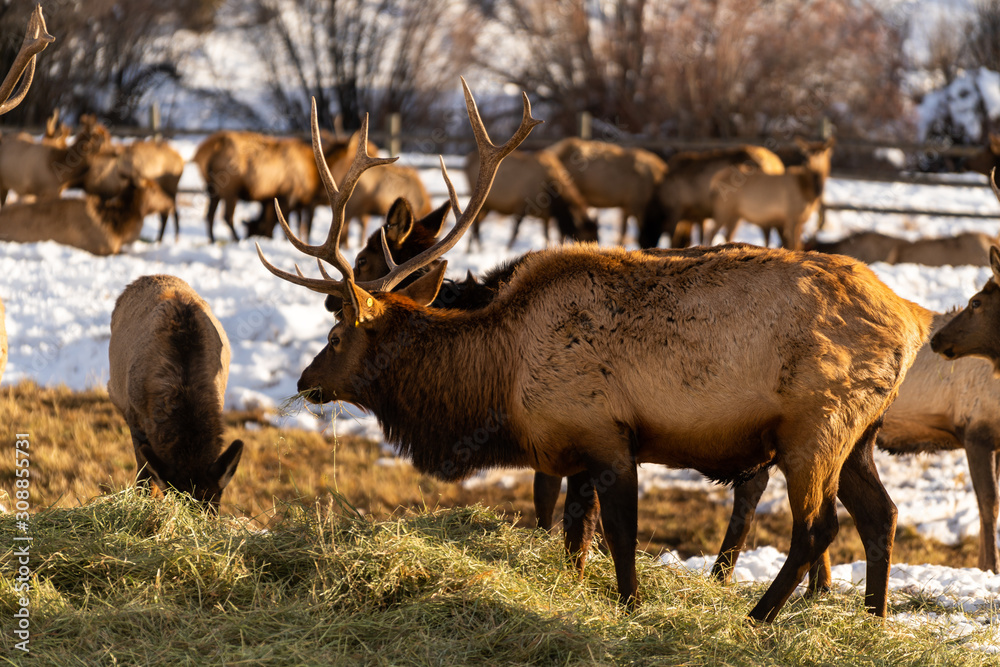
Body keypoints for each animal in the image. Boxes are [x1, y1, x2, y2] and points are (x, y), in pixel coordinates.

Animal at [463, 149, 598, 249]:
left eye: (597, 236)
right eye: (584, 237)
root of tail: (467, 161)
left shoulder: (546, 215)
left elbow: (546, 235)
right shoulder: (521, 205)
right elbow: (515, 231)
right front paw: (508, 249)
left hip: (488, 205)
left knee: (475, 224)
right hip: (480, 201)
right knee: (475, 225)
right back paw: (477, 249)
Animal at [640, 146, 785, 249]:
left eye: (645, 235)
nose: (645, 245)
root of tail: (776, 165)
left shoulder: (676, 209)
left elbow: (673, 237)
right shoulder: (699, 215)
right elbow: (700, 236)